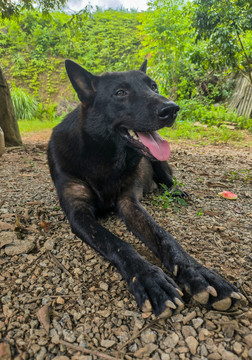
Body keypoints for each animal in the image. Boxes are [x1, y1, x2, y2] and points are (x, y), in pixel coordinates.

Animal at [47, 60, 242, 316]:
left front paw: (201, 274)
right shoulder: (78, 213)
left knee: (169, 180)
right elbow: (117, 243)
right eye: (120, 92)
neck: (104, 156)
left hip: (159, 163)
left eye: (154, 86)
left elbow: (164, 236)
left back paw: (176, 192)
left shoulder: (129, 203)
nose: (172, 109)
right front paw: (149, 279)